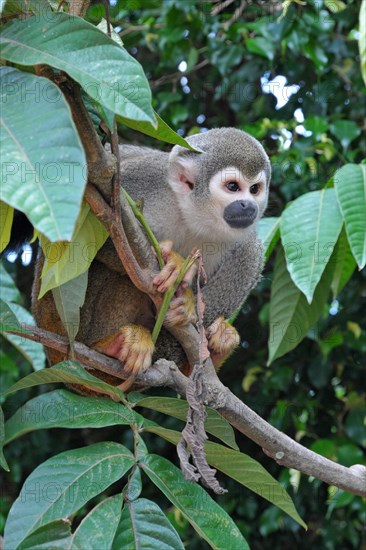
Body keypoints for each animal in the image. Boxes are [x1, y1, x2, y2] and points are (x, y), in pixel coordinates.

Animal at [30, 129, 268, 386]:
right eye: (233, 186)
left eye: (255, 189)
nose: (248, 205)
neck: (195, 216)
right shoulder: (145, 177)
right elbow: (85, 228)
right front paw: (175, 264)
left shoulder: (247, 247)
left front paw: (187, 305)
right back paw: (107, 347)